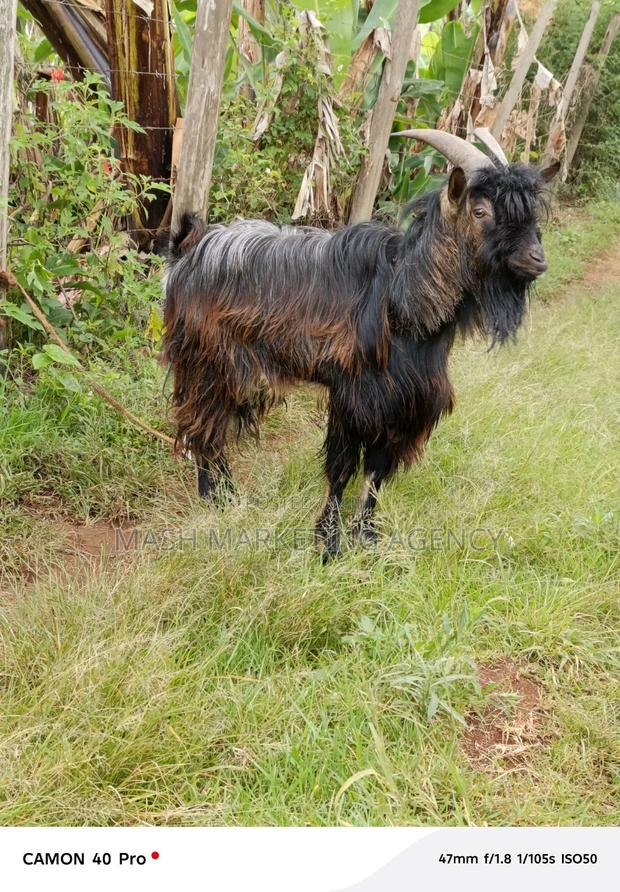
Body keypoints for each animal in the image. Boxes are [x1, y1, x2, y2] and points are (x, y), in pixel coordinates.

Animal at [164, 130, 557, 559]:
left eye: (531, 214)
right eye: (481, 211)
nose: (537, 259)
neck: (402, 298)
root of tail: (188, 249)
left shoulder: (404, 403)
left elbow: (376, 472)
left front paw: (367, 537)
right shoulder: (353, 396)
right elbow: (342, 468)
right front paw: (328, 543)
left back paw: (226, 497)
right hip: (206, 363)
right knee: (202, 429)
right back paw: (217, 499)